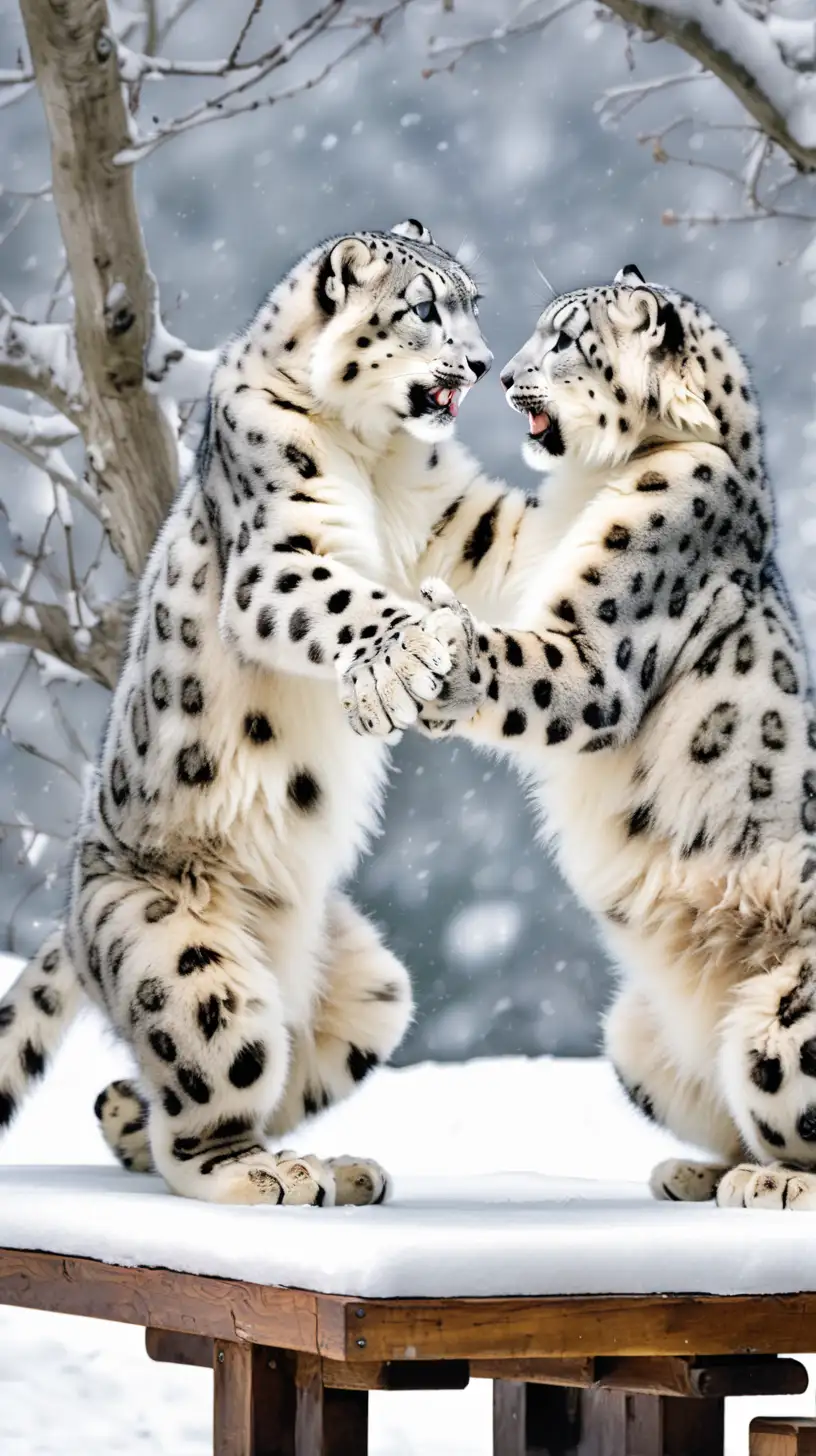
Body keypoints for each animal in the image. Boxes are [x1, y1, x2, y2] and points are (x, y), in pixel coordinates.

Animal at [0, 212, 559, 1193]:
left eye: (473, 302)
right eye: (423, 308)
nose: (482, 363)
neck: (377, 457)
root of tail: (70, 909)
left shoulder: (456, 519)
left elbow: (520, 535)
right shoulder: (278, 552)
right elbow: (342, 599)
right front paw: (406, 654)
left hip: (373, 987)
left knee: (224, 1078)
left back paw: (320, 1164)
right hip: (182, 962)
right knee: (206, 1095)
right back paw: (268, 1175)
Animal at [345, 267, 816, 1211]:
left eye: (565, 338)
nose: (500, 376)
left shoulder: (601, 649)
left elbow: (537, 669)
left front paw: (444, 652)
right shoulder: (518, 546)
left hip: (790, 1024)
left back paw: (774, 1185)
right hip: (631, 1037)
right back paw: (700, 1172)